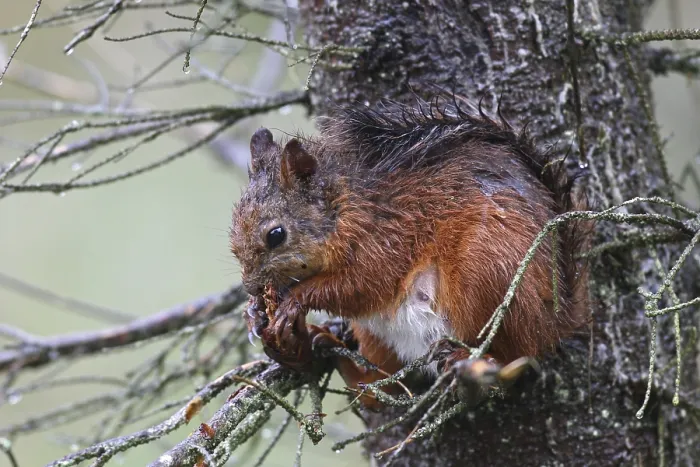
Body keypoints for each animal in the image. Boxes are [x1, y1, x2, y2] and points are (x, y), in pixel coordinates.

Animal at [229, 95, 589, 406]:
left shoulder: (387, 240)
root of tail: (554, 321)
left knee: (514, 357)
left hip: (488, 278)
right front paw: (255, 311)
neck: (346, 206)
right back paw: (317, 347)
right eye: (234, 228)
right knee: (374, 394)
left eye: (276, 235)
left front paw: (294, 302)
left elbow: (360, 286)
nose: (251, 287)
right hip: (378, 337)